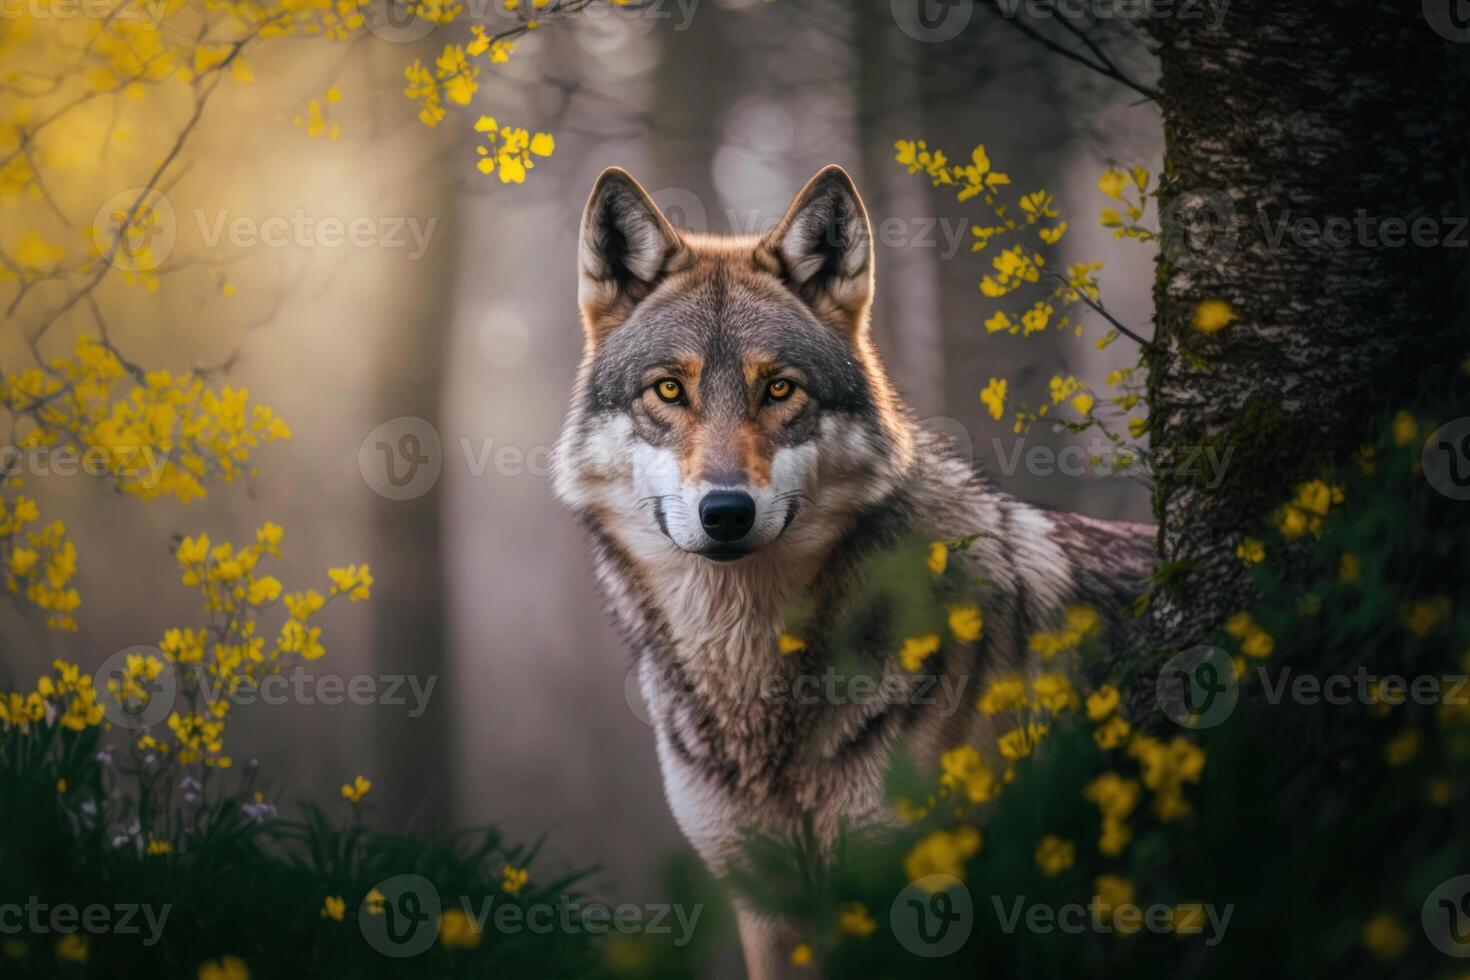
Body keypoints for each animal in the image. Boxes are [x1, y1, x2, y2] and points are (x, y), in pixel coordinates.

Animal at [552, 164, 1158, 975]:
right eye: (669, 390)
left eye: (780, 388)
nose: (726, 512)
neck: (752, 686)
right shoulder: (769, 908)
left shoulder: (931, 906)